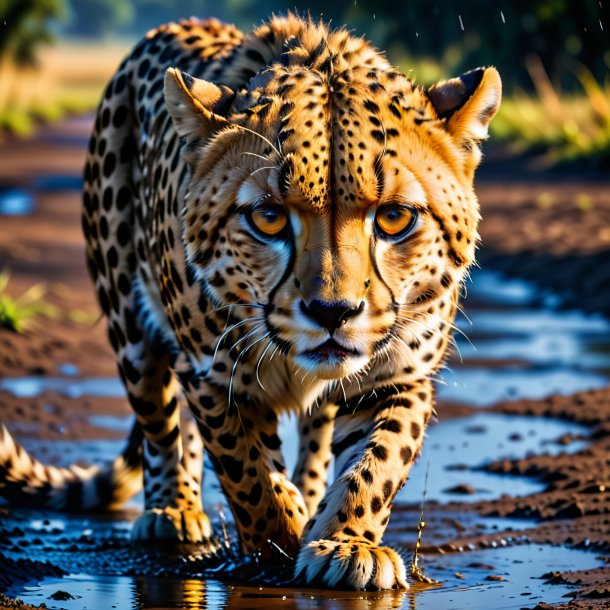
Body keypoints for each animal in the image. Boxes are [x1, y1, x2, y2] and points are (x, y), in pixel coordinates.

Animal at [0, 11, 498, 588]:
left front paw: (346, 543)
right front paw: (274, 545)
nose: (332, 313)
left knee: (312, 433)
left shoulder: (397, 374)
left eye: (395, 217)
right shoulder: (215, 375)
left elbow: (378, 463)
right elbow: (247, 472)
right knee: (159, 420)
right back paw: (173, 509)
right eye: (269, 218)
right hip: (131, 325)